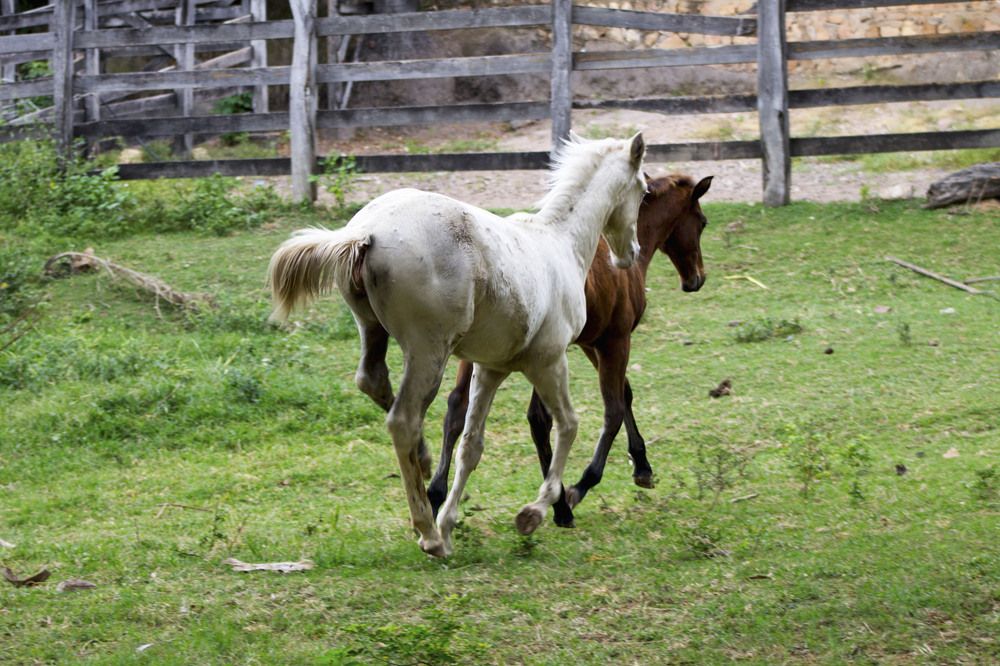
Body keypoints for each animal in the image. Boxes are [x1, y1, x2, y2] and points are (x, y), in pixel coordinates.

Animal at [268, 132, 648, 557]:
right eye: (644, 192)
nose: (629, 255)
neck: (559, 243)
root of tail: (367, 232)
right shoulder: (549, 360)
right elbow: (568, 424)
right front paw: (535, 511)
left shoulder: (490, 368)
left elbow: (471, 445)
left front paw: (450, 523)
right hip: (429, 351)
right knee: (402, 418)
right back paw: (427, 531)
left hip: (372, 329)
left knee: (371, 380)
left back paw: (425, 468)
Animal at [427, 174, 712, 527]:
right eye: (702, 222)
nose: (696, 278)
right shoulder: (615, 340)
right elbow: (613, 408)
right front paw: (581, 485)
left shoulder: (592, 343)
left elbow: (625, 394)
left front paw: (642, 466)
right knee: (536, 418)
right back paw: (560, 505)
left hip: (481, 353)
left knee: (456, 407)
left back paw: (435, 496)